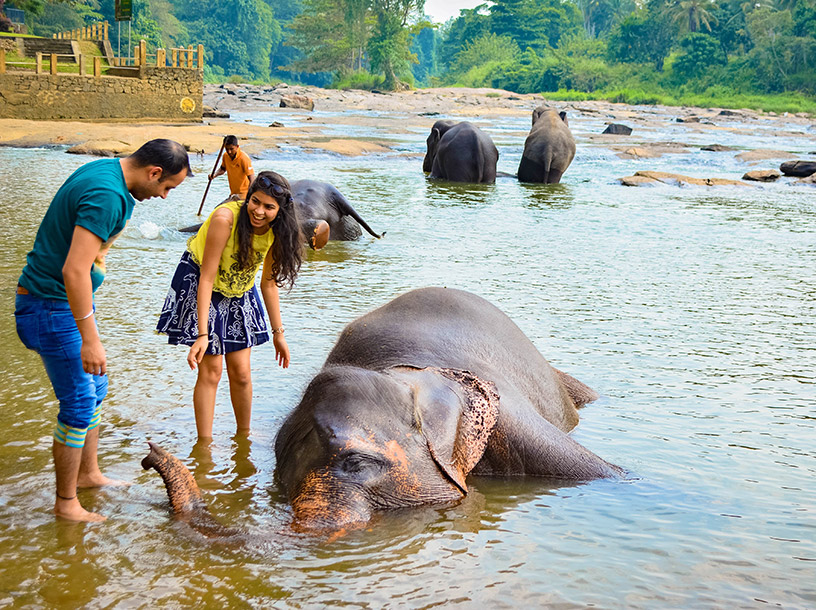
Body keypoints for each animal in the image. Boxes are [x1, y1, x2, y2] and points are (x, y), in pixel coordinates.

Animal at [143, 287, 622, 536]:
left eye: (357, 463)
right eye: (278, 478)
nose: (148, 456)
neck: (406, 376)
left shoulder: (515, 421)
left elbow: (609, 474)